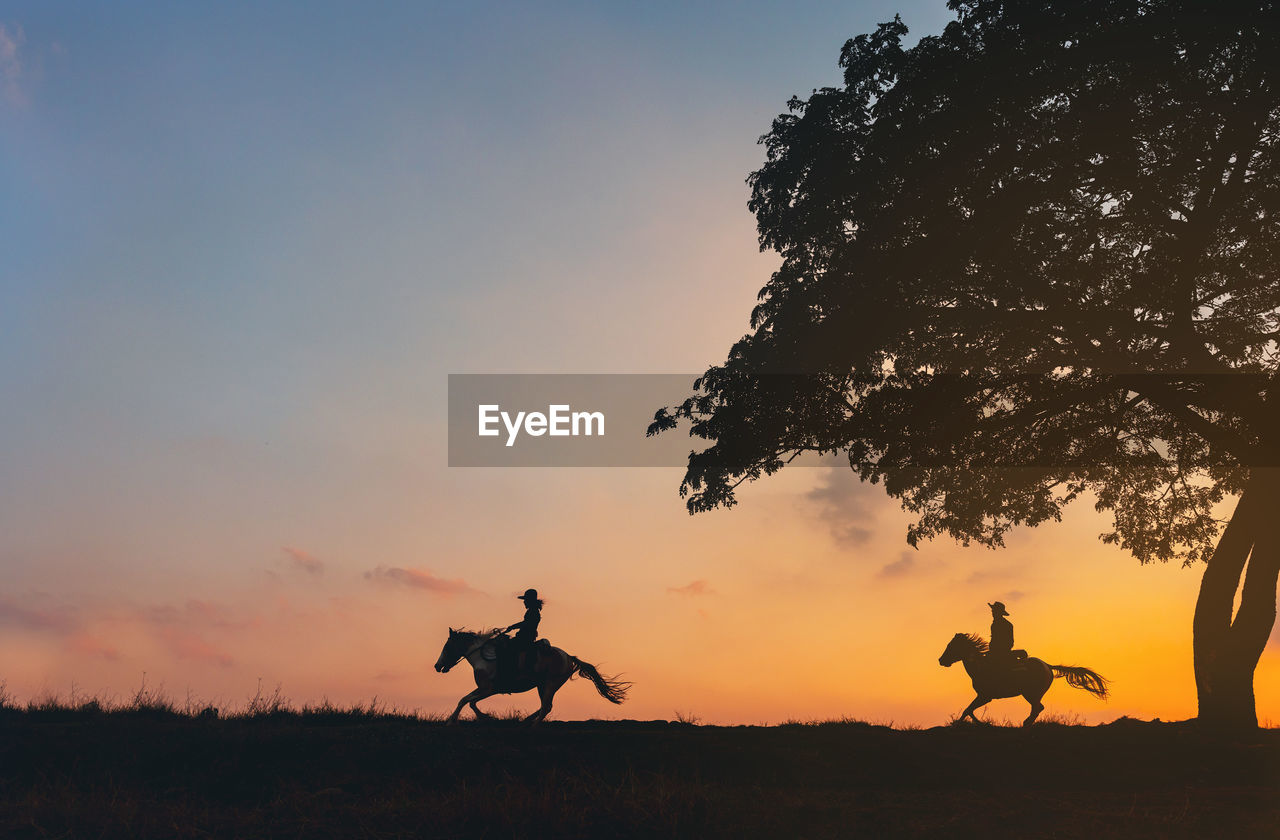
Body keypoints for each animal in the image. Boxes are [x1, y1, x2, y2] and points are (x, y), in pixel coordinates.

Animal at [435, 627, 629, 727]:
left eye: (447, 647)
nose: (437, 666)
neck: (482, 657)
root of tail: (569, 657)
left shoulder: (488, 689)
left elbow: (464, 700)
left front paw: (450, 721)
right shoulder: (487, 690)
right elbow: (470, 702)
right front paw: (486, 717)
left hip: (550, 684)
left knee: (546, 707)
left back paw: (533, 725)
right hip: (543, 686)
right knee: (546, 706)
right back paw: (527, 720)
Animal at [936, 632, 1105, 727]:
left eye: (951, 646)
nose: (941, 660)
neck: (980, 667)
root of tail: (1047, 666)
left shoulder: (985, 696)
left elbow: (967, 710)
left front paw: (963, 723)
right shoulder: (983, 697)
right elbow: (969, 710)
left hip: (1031, 693)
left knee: (1037, 708)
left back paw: (1026, 722)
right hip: (1033, 694)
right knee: (1038, 708)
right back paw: (1027, 722)